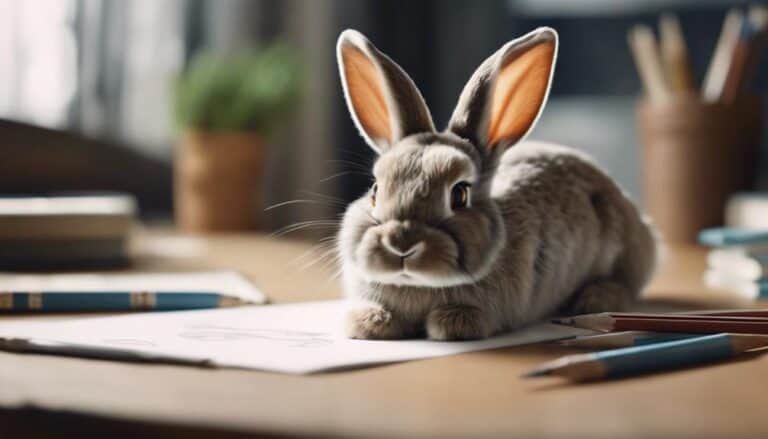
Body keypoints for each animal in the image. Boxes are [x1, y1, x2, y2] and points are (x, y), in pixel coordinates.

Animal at [335, 27, 658, 341]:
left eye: (459, 194)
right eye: (375, 190)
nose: (401, 244)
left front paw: (451, 323)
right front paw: (369, 322)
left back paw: (596, 299)